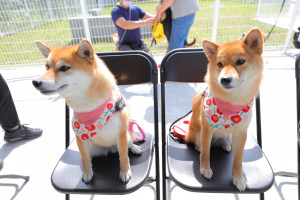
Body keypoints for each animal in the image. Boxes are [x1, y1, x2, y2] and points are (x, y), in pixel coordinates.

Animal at [33, 39, 141, 184]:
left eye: (64, 68)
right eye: (47, 66)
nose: (35, 82)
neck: (88, 106)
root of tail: (107, 149)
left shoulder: (121, 134)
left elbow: (124, 156)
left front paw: (125, 172)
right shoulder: (80, 137)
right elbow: (84, 158)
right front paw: (87, 172)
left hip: (127, 137)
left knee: (129, 143)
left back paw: (134, 148)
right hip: (92, 147)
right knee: (88, 156)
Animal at [185, 27, 264, 191]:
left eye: (240, 61)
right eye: (219, 64)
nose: (224, 79)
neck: (232, 102)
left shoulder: (241, 133)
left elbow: (238, 160)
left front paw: (238, 178)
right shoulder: (206, 129)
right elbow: (206, 154)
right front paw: (205, 169)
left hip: (228, 136)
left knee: (224, 141)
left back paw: (226, 145)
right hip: (197, 133)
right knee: (201, 146)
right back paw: (200, 147)